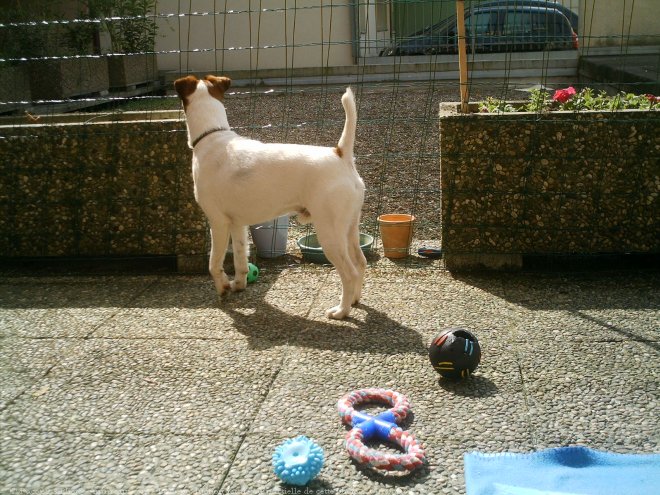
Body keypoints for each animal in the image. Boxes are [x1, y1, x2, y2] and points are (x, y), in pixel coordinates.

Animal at [174, 75, 366, 320]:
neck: (213, 137)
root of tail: (341, 154)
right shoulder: (237, 225)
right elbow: (240, 260)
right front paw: (238, 285)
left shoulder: (217, 222)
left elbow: (213, 263)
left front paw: (223, 288)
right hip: (350, 228)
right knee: (361, 263)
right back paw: (354, 301)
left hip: (330, 234)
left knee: (350, 273)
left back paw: (341, 311)